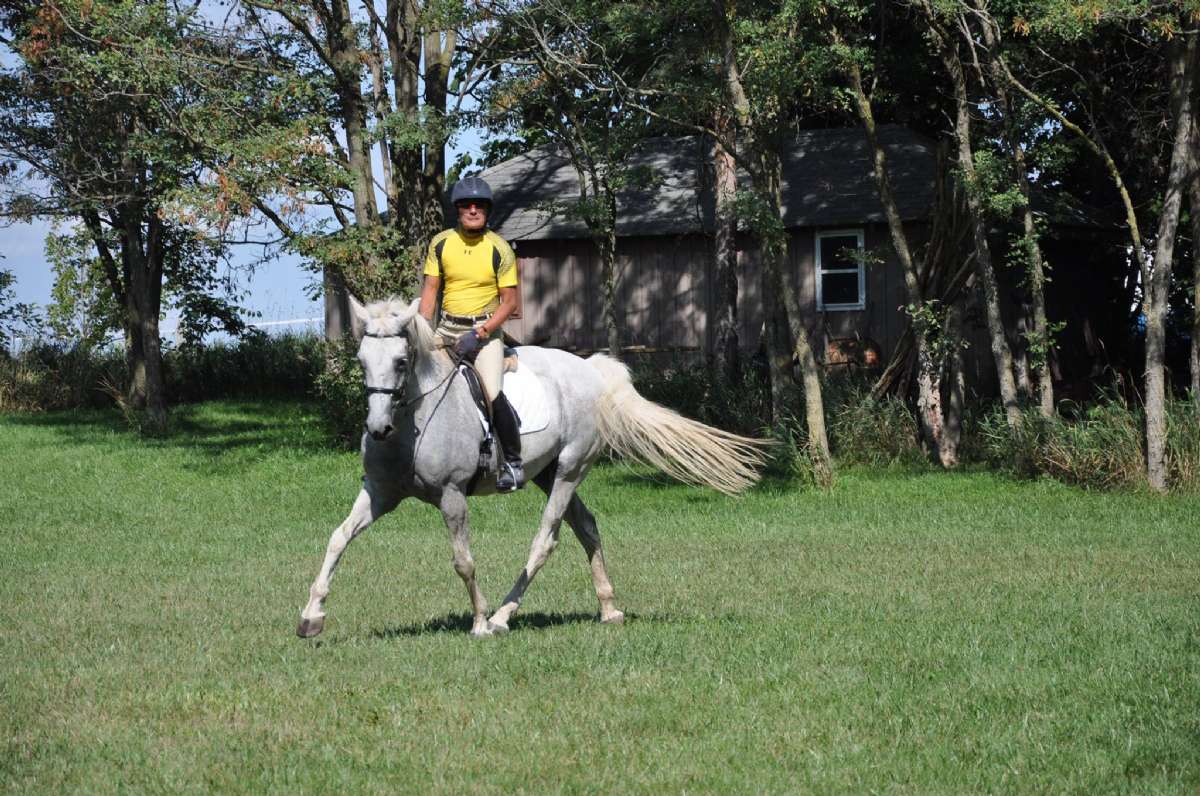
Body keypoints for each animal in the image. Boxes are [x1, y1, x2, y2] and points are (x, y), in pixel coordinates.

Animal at [297, 297, 771, 638]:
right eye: (361, 361)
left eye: (400, 362)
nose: (378, 428)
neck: (413, 421)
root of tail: (590, 370)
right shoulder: (380, 492)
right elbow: (338, 538)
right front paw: (311, 616)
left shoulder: (452, 496)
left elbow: (463, 560)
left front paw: (479, 621)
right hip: (546, 471)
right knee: (587, 527)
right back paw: (608, 608)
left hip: (569, 469)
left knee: (546, 540)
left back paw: (503, 616)